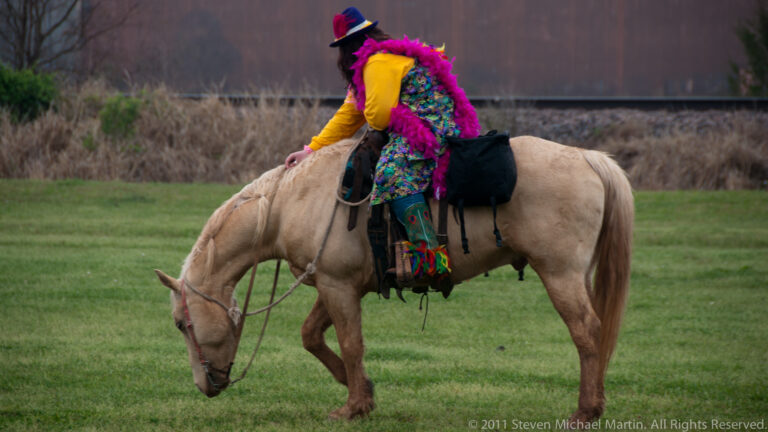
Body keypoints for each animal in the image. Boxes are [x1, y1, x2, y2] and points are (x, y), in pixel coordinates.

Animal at [154, 135, 633, 425]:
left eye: (181, 324)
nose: (206, 386)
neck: (289, 202)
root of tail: (588, 158)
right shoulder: (335, 284)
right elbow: (312, 335)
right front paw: (362, 390)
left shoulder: (338, 286)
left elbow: (351, 344)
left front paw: (353, 407)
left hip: (560, 274)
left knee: (587, 332)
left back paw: (586, 412)